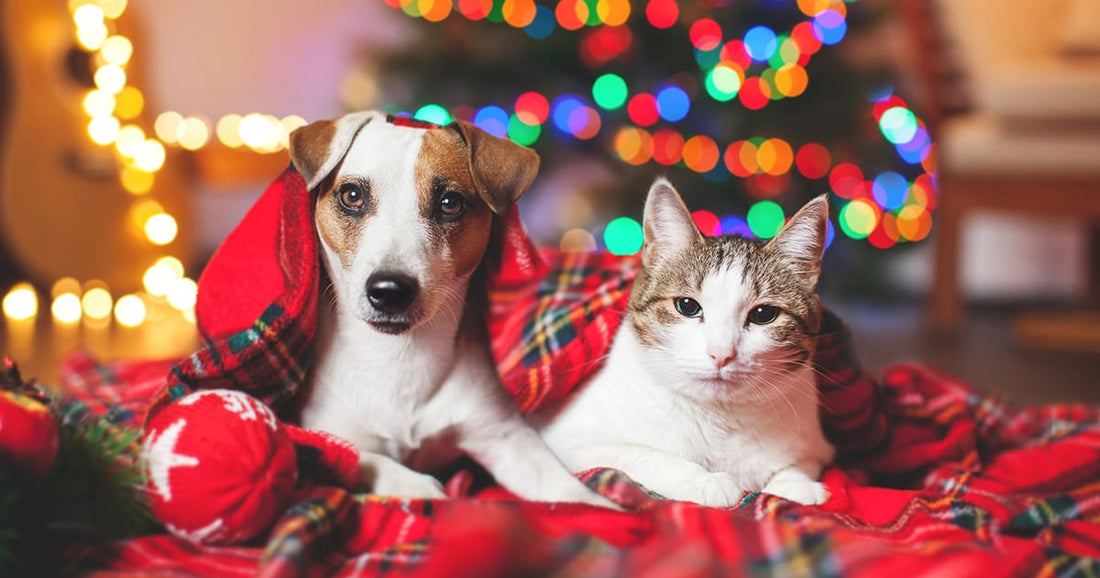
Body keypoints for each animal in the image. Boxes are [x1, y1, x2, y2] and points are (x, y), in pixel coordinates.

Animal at [286, 109, 611, 504]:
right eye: (352, 195)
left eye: (450, 203)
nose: (389, 290)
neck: (399, 357)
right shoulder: (325, 432)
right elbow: (357, 456)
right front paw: (413, 484)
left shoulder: (505, 437)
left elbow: (567, 489)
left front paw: (604, 506)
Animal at [532, 177, 831, 504]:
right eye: (687, 306)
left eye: (764, 314)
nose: (721, 354)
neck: (720, 421)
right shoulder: (571, 442)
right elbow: (644, 456)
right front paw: (705, 480)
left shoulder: (817, 447)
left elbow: (797, 465)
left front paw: (795, 485)